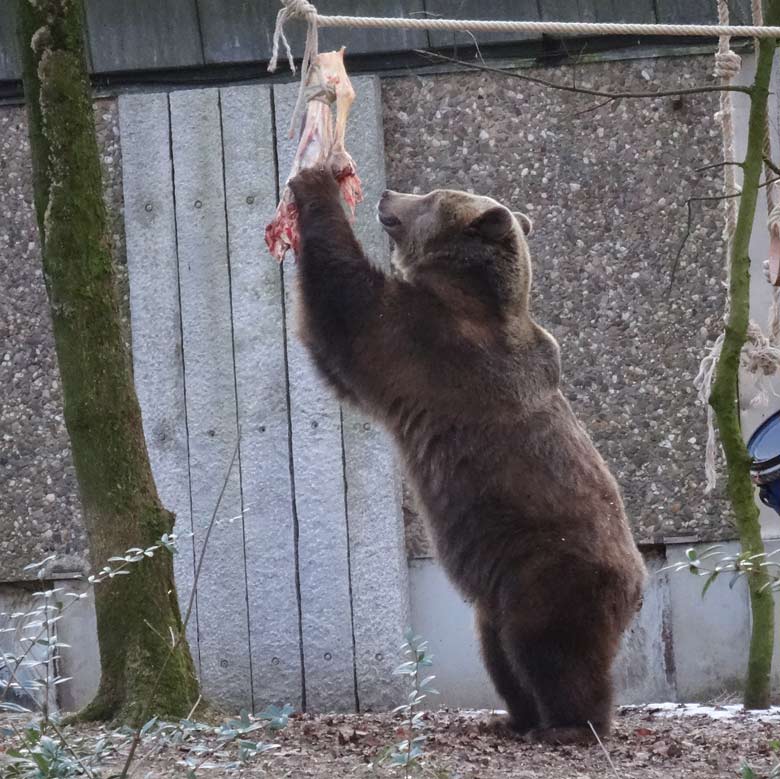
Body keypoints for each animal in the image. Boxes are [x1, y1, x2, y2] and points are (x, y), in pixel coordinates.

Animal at [286, 169, 644, 744]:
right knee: (500, 656)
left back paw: (569, 725)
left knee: (553, 653)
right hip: (497, 597)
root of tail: (637, 584)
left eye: (431, 197)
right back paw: (512, 718)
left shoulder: (431, 347)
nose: (388, 194)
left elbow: (350, 315)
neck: (471, 294)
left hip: (550, 572)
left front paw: (315, 180)